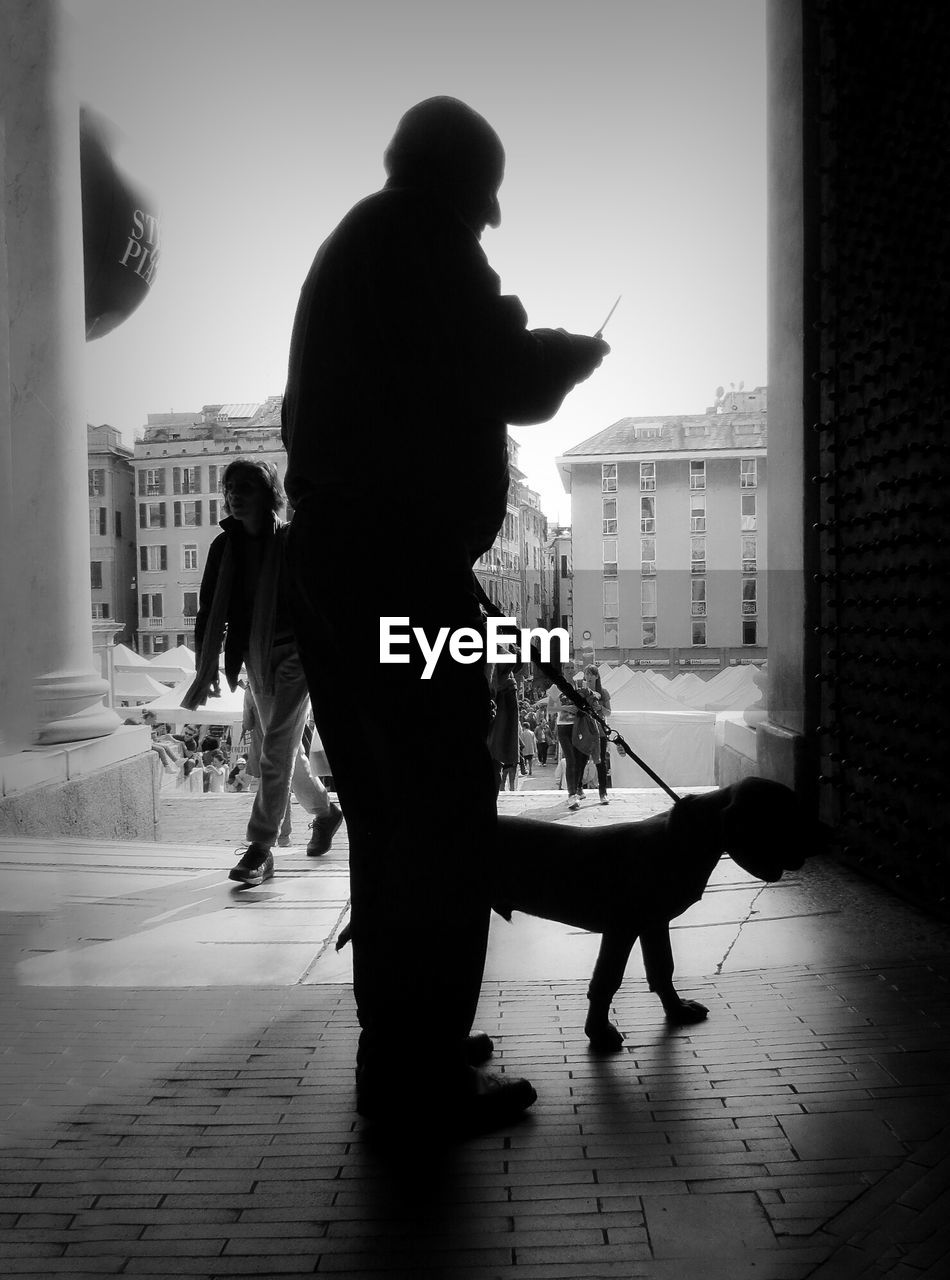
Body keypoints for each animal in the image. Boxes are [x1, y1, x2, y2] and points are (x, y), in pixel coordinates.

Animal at [494, 778, 814, 1049]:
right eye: (779, 818)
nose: (806, 854)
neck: (681, 839)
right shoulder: (621, 929)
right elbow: (606, 981)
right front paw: (598, 1032)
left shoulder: (655, 924)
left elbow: (662, 969)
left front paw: (676, 1009)